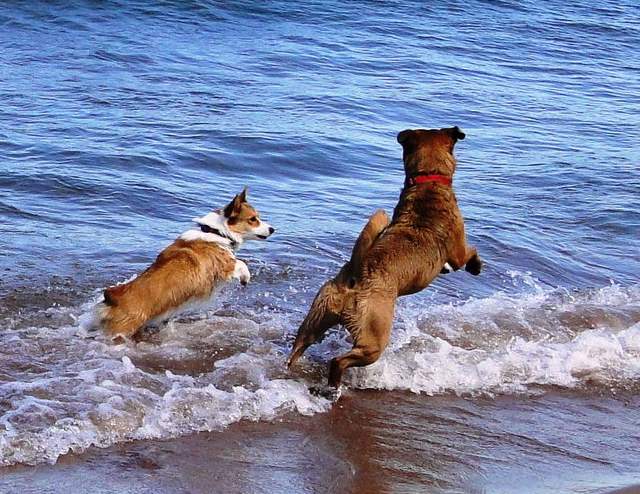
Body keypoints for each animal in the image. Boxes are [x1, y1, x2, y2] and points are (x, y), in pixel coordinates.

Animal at [288, 127, 482, 390]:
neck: (428, 181)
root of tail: (356, 276)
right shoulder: (458, 251)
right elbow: (470, 252)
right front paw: (476, 266)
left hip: (317, 317)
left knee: (299, 346)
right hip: (374, 339)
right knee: (339, 361)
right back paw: (334, 385)